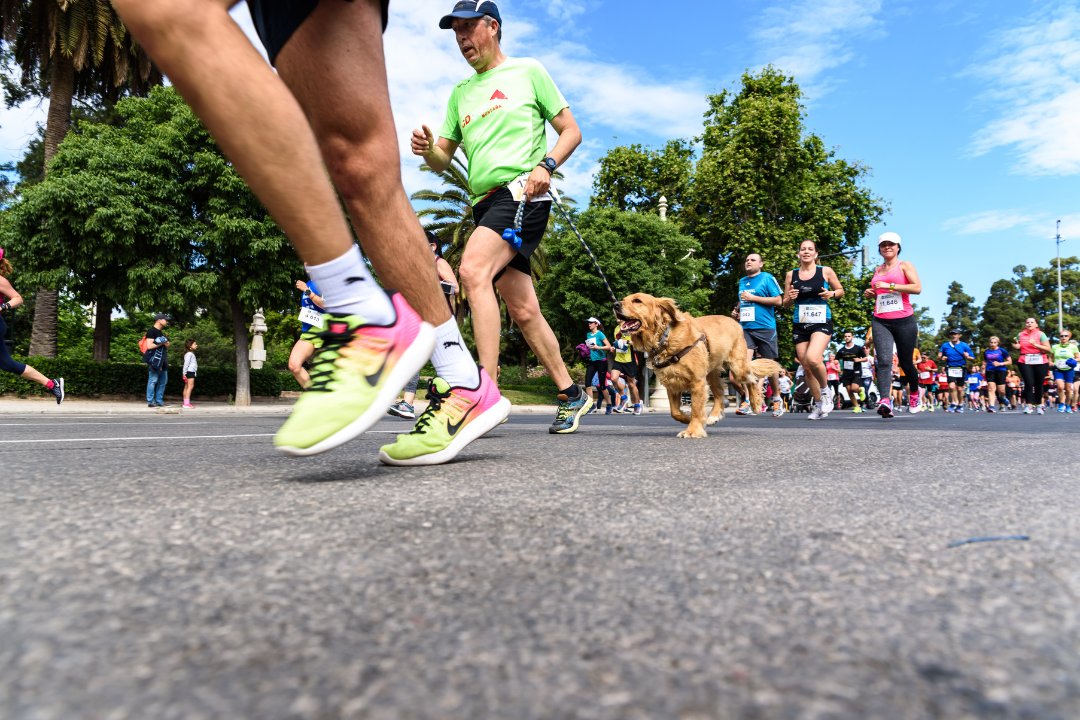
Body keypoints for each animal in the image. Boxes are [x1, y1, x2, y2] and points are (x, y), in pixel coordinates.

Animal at [613, 293, 781, 440]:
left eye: (637, 300)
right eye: (624, 299)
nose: (615, 304)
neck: (665, 338)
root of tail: (735, 321)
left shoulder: (697, 382)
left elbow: (696, 408)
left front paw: (693, 430)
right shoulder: (672, 384)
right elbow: (675, 412)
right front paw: (690, 419)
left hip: (737, 367)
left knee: (752, 380)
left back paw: (755, 404)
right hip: (711, 373)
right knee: (720, 394)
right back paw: (713, 416)